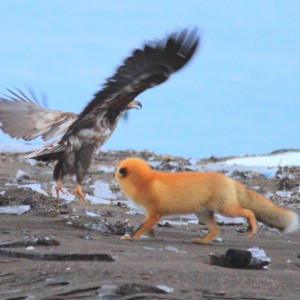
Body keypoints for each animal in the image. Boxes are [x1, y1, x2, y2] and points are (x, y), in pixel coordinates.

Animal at [114, 157, 298, 244]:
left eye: (116, 169)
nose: (113, 171)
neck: (146, 181)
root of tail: (229, 179)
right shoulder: (152, 215)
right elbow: (147, 228)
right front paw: (149, 235)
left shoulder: (155, 212)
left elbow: (141, 227)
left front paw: (131, 237)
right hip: (203, 215)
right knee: (216, 230)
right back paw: (202, 241)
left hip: (226, 210)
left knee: (249, 212)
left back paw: (252, 229)